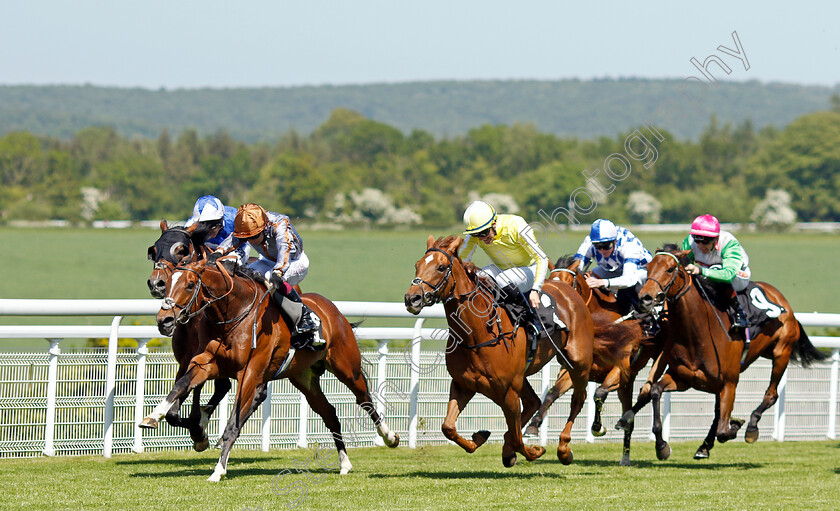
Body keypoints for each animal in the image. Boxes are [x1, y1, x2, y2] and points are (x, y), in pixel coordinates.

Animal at [140, 258, 400, 482]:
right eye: (167, 283)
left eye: (190, 284)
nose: (164, 320)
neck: (234, 313)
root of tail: (333, 310)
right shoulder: (206, 362)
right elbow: (181, 385)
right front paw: (153, 416)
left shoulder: (250, 373)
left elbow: (233, 424)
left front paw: (218, 470)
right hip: (304, 379)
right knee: (330, 414)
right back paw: (344, 463)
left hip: (347, 368)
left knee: (364, 400)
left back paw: (390, 438)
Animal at [145, 218, 230, 450]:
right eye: (153, 250)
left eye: (181, 250)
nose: (156, 283)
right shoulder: (184, 360)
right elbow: (173, 411)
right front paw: (196, 428)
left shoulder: (203, 356)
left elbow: (193, 396)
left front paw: (198, 430)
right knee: (223, 385)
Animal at [404, 236, 592, 468]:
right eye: (417, 265)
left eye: (441, 267)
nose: (412, 298)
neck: (477, 334)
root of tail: (566, 287)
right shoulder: (463, 384)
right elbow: (448, 427)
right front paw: (480, 437)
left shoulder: (508, 391)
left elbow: (518, 437)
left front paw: (534, 450)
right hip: (523, 376)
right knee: (534, 402)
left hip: (578, 362)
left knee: (578, 398)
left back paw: (564, 449)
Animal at [524, 256, 664, 468]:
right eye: (550, 279)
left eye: (568, 281)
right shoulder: (574, 369)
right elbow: (552, 394)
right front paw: (533, 425)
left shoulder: (619, 370)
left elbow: (599, 393)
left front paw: (598, 427)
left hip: (631, 379)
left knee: (630, 415)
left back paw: (633, 454)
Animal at [620, 246, 832, 462]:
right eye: (648, 267)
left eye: (670, 269)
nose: (645, 298)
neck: (698, 334)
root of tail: (784, 303)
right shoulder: (684, 378)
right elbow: (654, 390)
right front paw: (661, 446)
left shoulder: (729, 382)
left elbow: (724, 430)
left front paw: (736, 425)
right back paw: (704, 445)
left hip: (781, 352)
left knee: (771, 394)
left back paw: (751, 428)